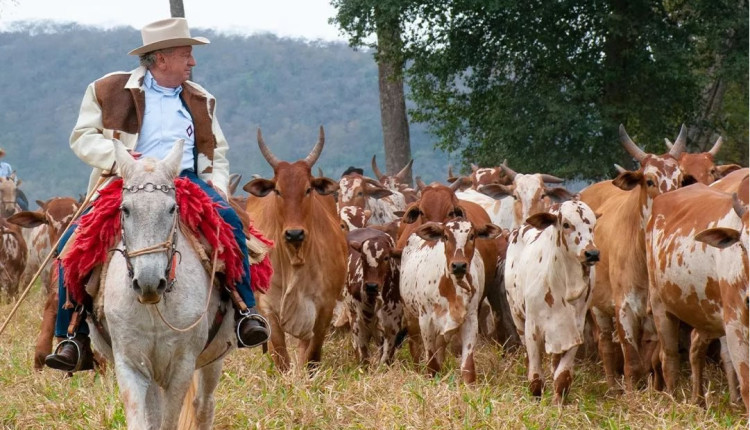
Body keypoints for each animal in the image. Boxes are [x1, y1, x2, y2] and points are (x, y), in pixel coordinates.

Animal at [89, 140, 239, 426]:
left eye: (172, 209)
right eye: (125, 209)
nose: (148, 282)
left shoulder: (181, 366)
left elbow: (170, 420)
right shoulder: (131, 364)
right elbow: (141, 421)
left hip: (214, 358)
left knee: (203, 406)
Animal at [242, 126, 348, 372]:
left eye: (308, 189)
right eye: (278, 191)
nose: (294, 233)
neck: (295, 260)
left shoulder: (324, 308)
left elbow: (312, 355)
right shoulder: (268, 307)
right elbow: (280, 354)